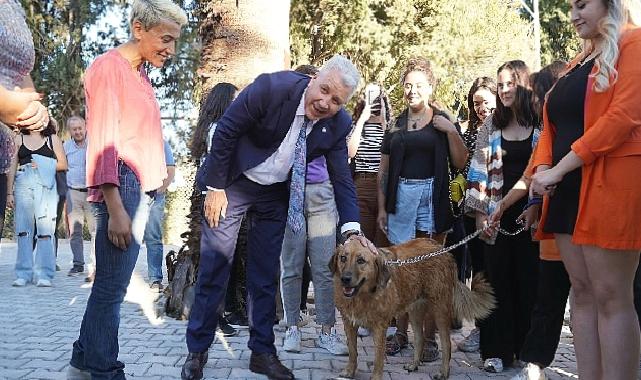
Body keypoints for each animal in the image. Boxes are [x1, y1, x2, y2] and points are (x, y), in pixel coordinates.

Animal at [330, 236, 496, 378]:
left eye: (361, 260)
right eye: (343, 258)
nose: (345, 279)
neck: (362, 296)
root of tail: (442, 249)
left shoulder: (380, 327)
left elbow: (378, 359)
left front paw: (375, 377)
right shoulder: (348, 323)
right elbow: (353, 351)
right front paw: (349, 371)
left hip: (439, 310)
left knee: (447, 344)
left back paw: (443, 372)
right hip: (414, 310)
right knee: (419, 338)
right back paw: (414, 365)